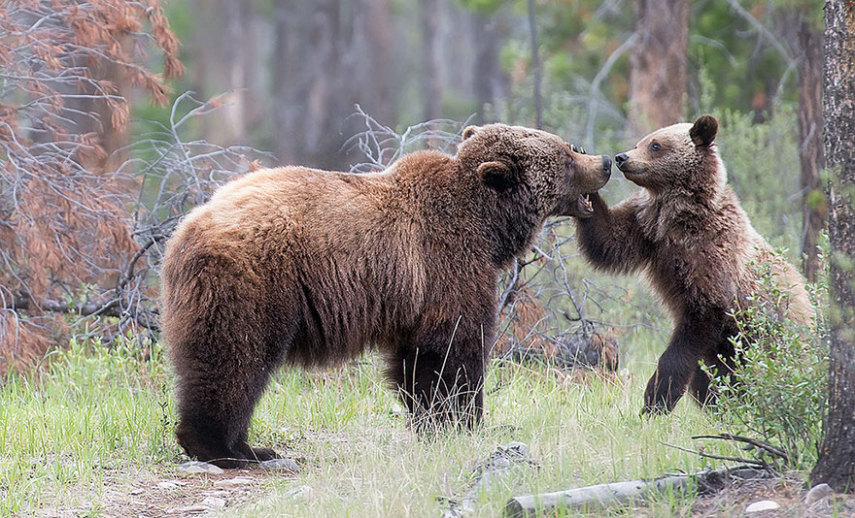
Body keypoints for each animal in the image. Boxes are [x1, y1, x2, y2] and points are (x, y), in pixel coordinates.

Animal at [160, 124, 612, 470]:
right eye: (567, 156)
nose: (606, 162)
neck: (487, 227)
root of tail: (186, 230)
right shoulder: (445, 266)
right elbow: (451, 351)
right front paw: (463, 422)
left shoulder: (415, 296)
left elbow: (415, 361)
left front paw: (436, 422)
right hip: (254, 282)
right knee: (235, 359)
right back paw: (228, 449)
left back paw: (249, 447)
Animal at [580, 115, 812, 418]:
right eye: (641, 141)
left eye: (655, 145)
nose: (622, 157)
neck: (679, 215)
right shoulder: (646, 227)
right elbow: (609, 240)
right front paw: (586, 183)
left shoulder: (712, 260)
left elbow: (692, 331)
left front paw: (656, 399)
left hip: (767, 335)